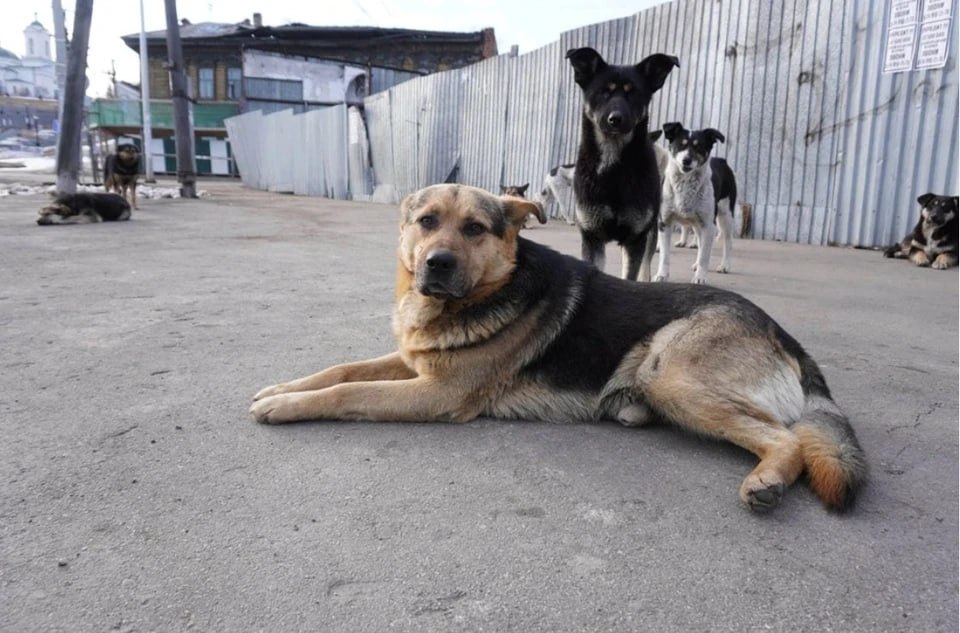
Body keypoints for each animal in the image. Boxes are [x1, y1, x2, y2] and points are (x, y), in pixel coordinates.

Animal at [251, 183, 868, 512]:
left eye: (474, 229)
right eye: (426, 222)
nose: (437, 264)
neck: (483, 293)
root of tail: (781, 332)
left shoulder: (436, 393)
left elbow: (350, 391)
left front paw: (285, 406)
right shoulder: (413, 363)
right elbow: (341, 369)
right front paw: (281, 387)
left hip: (672, 371)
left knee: (787, 437)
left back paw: (768, 480)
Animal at [656, 121, 740, 284]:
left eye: (699, 147)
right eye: (680, 145)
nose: (686, 160)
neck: (685, 183)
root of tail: (722, 160)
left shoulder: (708, 224)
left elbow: (704, 257)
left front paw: (700, 277)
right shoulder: (665, 222)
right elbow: (664, 256)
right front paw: (662, 275)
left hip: (726, 215)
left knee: (728, 241)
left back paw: (725, 265)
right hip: (697, 224)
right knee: (701, 242)